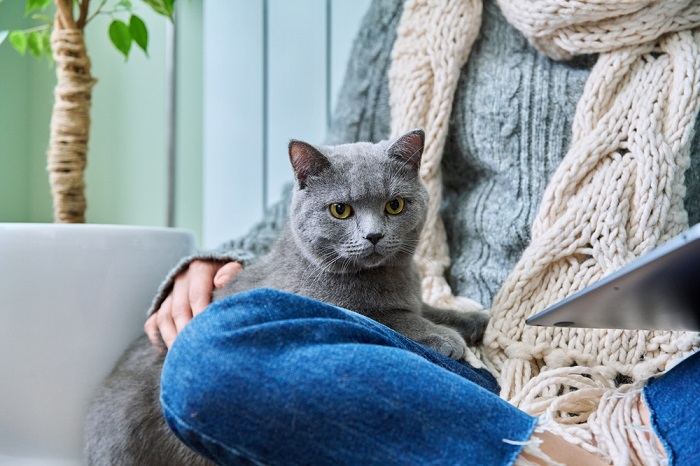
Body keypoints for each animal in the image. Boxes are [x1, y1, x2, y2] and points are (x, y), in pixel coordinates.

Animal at [83, 130, 486, 466]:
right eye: (341, 210)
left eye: (395, 206)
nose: (373, 236)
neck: (390, 278)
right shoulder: (342, 305)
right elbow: (393, 317)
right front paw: (444, 337)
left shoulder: (414, 297)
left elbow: (429, 308)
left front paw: (477, 320)